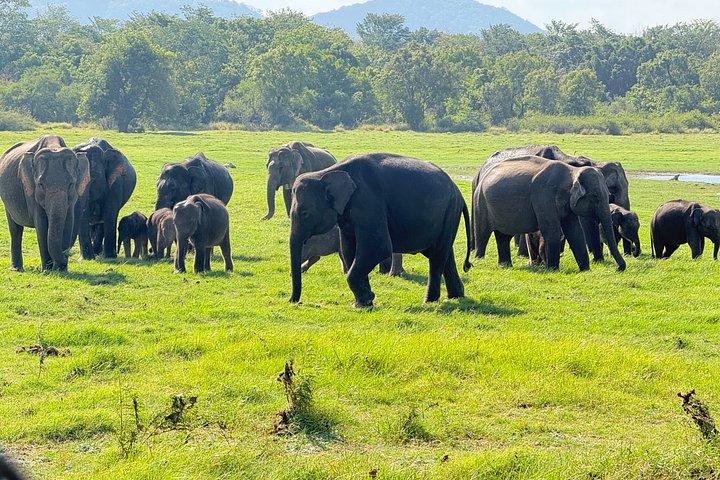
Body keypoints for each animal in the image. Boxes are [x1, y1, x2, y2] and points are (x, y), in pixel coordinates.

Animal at [0, 136, 90, 271]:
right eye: (41, 184)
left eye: (71, 184)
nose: (67, 254)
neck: (54, 146)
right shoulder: (31, 192)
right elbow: (41, 225)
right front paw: (48, 270)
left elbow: (68, 223)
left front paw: (61, 270)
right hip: (6, 200)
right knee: (15, 228)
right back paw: (16, 269)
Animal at [289, 153, 472, 307]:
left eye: (305, 212)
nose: (294, 302)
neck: (327, 172)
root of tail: (458, 191)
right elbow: (348, 249)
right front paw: (362, 302)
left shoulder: (368, 202)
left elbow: (378, 248)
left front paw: (365, 301)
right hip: (446, 215)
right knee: (444, 253)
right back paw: (455, 296)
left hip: (450, 211)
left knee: (437, 255)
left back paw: (429, 301)